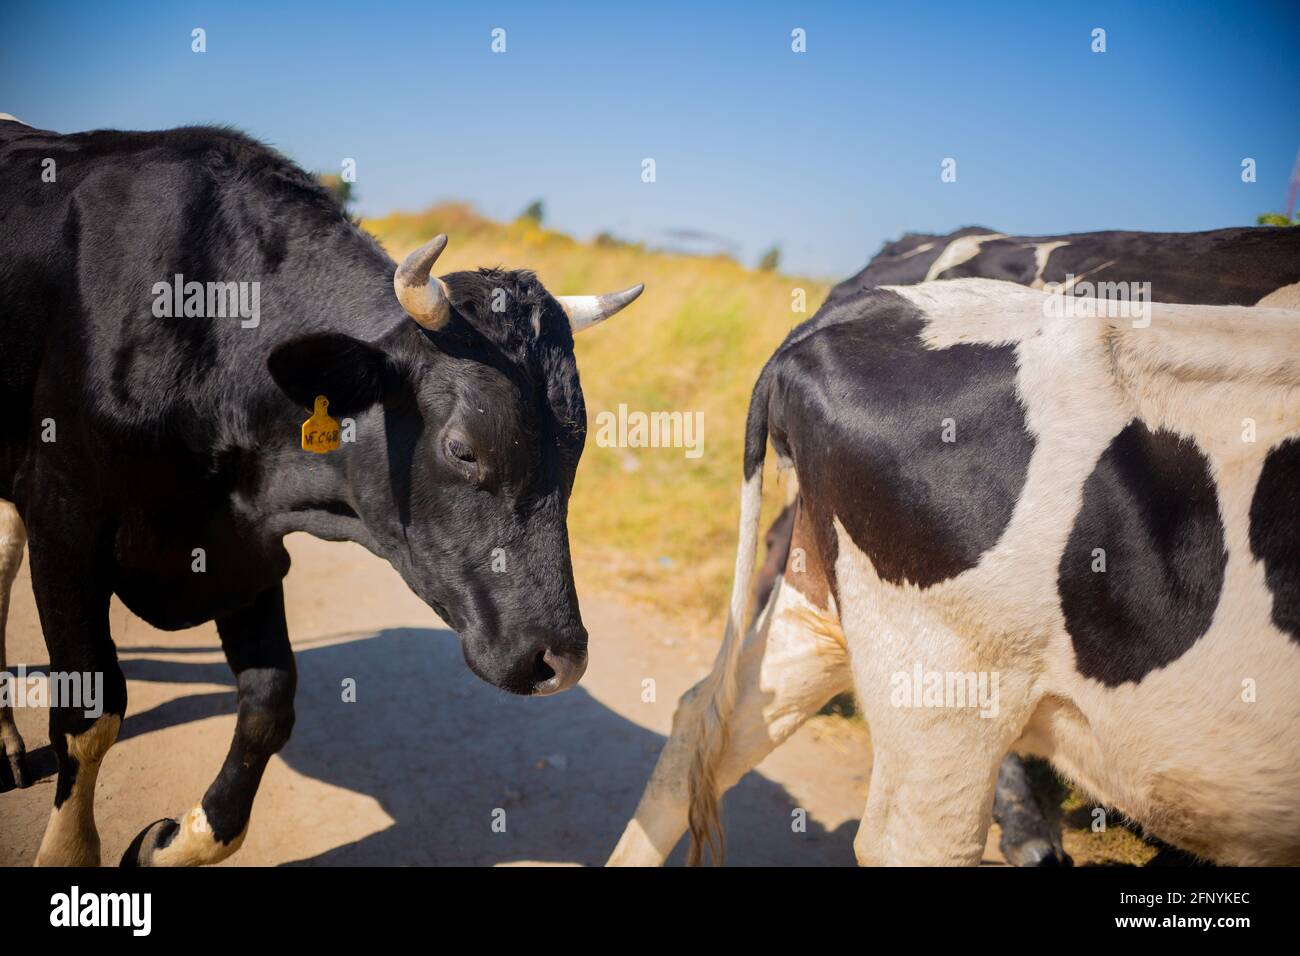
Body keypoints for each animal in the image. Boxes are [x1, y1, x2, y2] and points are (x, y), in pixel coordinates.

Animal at [0, 116, 643, 866]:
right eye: (463, 447)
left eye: (577, 445)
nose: (560, 661)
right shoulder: (65, 528)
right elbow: (90, 712)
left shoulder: (243, 548)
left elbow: (270, 703)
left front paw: (171, 843)